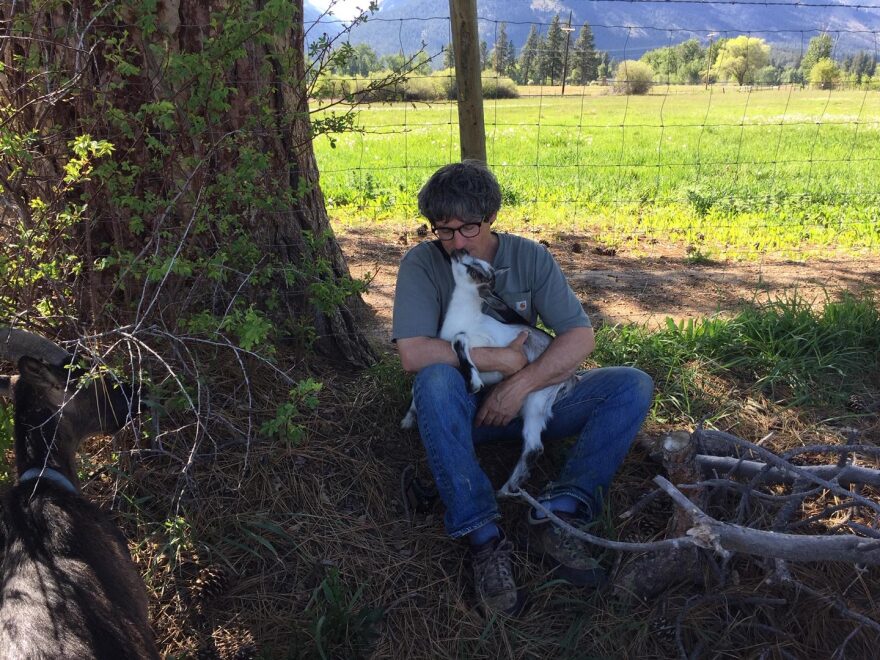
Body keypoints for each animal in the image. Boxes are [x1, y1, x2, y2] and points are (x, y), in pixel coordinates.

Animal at [400, 250, 576, 492]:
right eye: (469, 257)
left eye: (475, 271)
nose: (457, 252)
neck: (467, 320)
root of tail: (570, 377)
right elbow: (415, 388)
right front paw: (408, 420)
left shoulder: (486, 342)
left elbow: (459, 339)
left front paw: (474, 381)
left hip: (537, 398)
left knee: (534, 446)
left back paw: (506, 489)